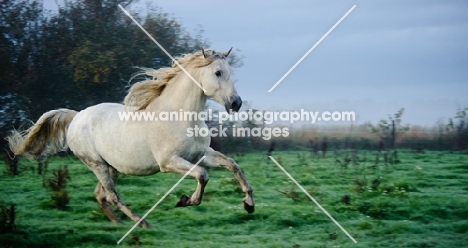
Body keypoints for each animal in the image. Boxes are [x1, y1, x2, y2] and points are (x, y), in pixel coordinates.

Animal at [7, 48, 254, 227]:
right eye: (218, 73)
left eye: (231, 73)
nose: (236, 103)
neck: (180, 116)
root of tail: (77, 116)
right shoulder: (169, 162)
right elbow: (202, 175)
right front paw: (186, 201)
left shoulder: (202, 155)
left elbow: (233, 165)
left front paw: (249, 204)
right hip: (96, 164)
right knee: (112, 196)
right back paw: (142, 224)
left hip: (111, 166)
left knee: (101, 195)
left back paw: (118, 224)